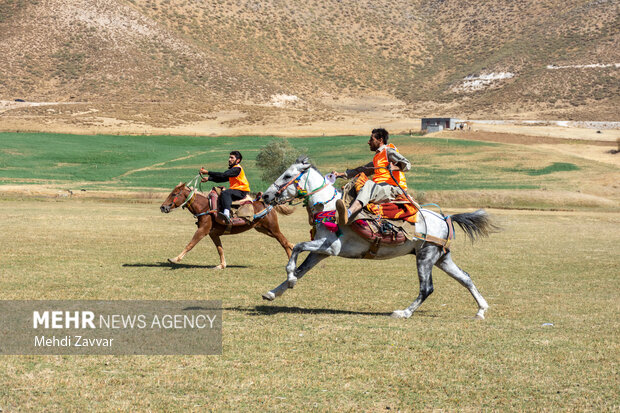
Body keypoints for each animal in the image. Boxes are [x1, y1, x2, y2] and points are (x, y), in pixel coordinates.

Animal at [160, 182, 296, 268]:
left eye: (174, 194)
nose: (162, 207)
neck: (206, 207)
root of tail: (268, 204)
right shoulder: (213, 234)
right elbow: (220, 249)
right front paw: (222, 265)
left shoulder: (203, 231)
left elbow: (190, 244)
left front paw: (175, 259)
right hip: (263, 229)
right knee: (287, 242)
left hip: (273, 228)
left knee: (284, 242)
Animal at [260, 156, 496, 318]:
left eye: (287, 176)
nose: (266, 196)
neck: (329, 207)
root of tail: (445, 218)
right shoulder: (320, 253)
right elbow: (301, 269)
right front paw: (274, 292)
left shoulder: (328, 247)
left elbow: (297, 248)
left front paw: (289, 279)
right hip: (440, 258)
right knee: (465, 277)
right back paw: (481, 310)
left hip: (426, 256)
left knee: (427, 288)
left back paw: (403, 313)